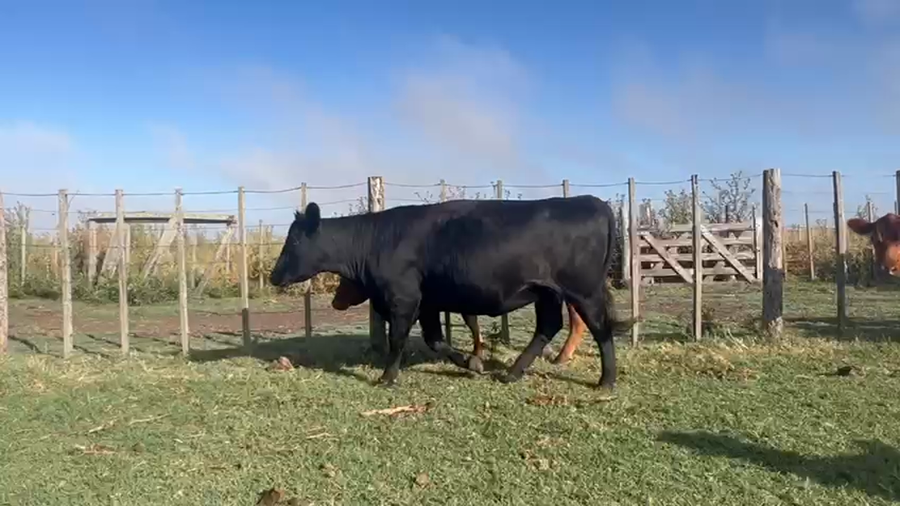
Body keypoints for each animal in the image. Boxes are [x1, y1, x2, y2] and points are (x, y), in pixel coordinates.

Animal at [330, 275, 590, 366]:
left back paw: (561, 356)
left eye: (345, 280)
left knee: (577, 321)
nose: (334, 302)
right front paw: (475, 354)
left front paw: (473, 356)